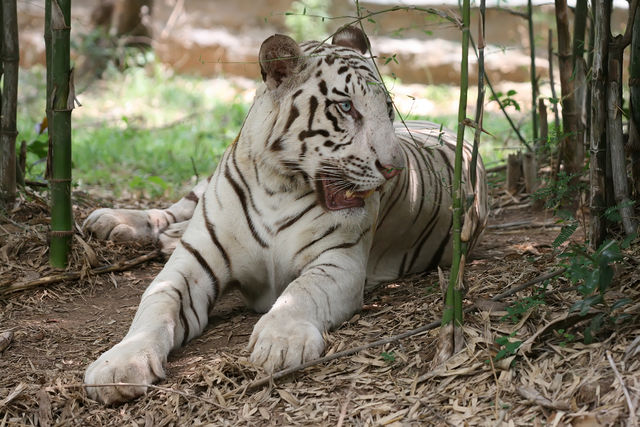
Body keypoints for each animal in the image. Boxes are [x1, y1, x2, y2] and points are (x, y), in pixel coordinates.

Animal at [83, 26, 488, 404]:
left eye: (387, 107)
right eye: (346, 108)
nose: (394, 169)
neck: (278, 186)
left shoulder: (338, 262)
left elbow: (301, 292)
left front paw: (281, 343)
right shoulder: (192, 266)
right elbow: (154, 306)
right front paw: (119, 366)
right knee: (175, 208)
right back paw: (114, 222)